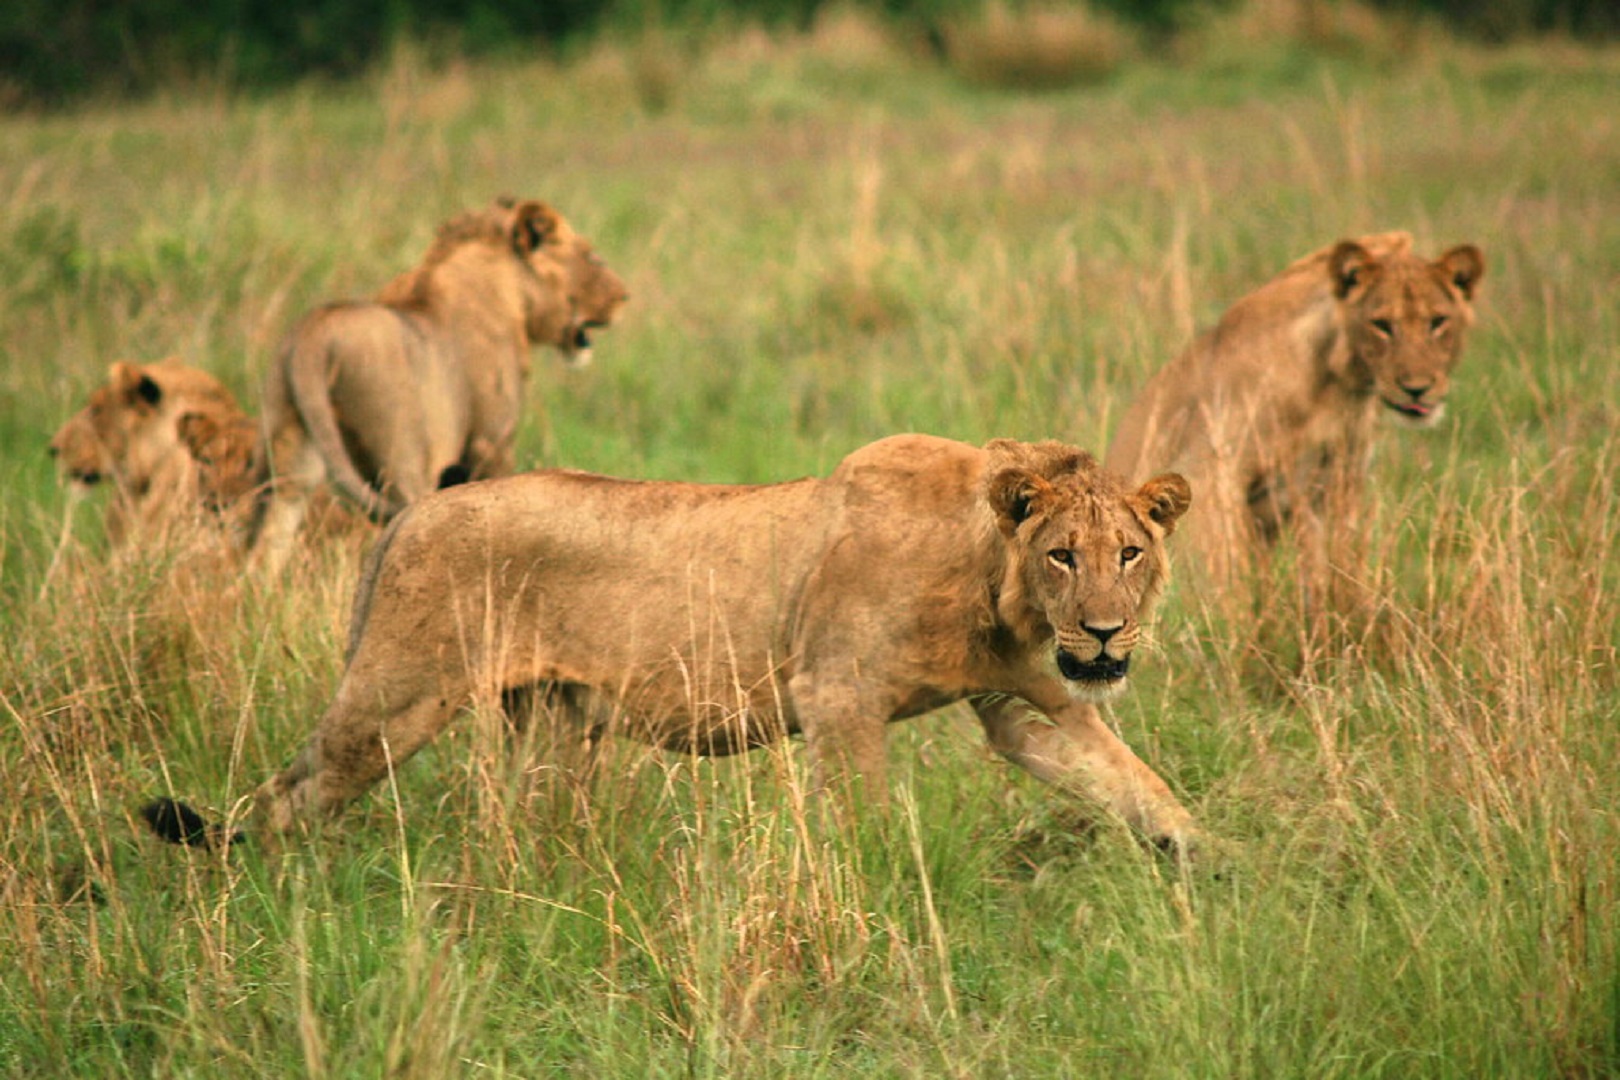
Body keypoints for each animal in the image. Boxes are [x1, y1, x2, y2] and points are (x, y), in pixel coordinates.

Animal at [249, 198, 628, 579]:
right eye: (592, 256)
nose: (624, 296)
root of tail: (314, 335)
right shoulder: (491, 439)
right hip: (402, 451)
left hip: (289, 443)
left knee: (271, 527)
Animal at [1108, 233, 1483, 595]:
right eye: (1381, 325)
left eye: (1438, 322)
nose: (1417, 389)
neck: (1338, 389)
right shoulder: (1211, 474)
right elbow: (1228, 579)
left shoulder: (1337, 485)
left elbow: (1332, 569)